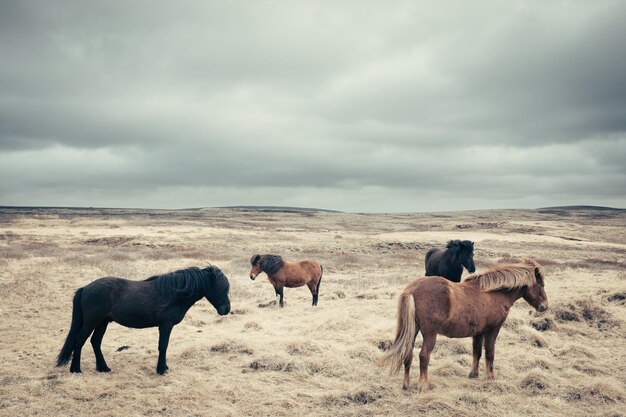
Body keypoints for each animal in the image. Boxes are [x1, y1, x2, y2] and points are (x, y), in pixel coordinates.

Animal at [56, 264, 230, 376]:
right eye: (219, 287)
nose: (226, 309)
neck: (174, 294)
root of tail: (86, 288)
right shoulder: (165, 326)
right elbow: (163, 346)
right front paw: (161, 369)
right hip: (92, 321)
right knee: (79, 340)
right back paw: (76, 369)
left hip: (102, 322)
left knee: (95, 342)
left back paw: (103, 368)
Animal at [376, 258, 544, 392]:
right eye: (541, 284)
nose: (544, 306)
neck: (494, 293)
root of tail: (411, 290)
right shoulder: (493, 330)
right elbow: (490, 353)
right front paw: (490, 377)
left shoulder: (478, 332)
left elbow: (477, 352)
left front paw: (474, 374)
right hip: (430, 334)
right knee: (423, 356)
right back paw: (423, 385)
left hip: (413, 331)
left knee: (408, 355)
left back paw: (406, 385)